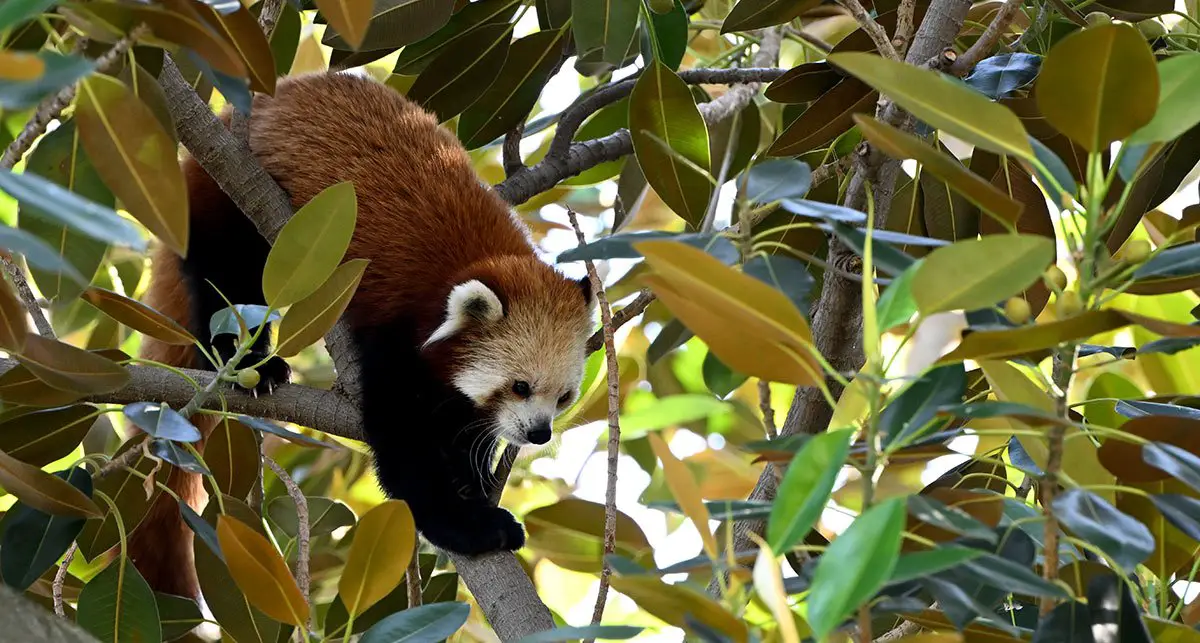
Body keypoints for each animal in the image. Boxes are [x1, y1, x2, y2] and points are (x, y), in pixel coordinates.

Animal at [130, 72, 595, 599]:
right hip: (227, 203)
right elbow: (403, 443)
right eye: (520, 386)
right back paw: (250, 364)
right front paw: (467, 525)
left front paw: (469, 480)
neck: (484, 257)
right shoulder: (394, 328)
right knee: (226, 284)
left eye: (564, 397)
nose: (539, 433)